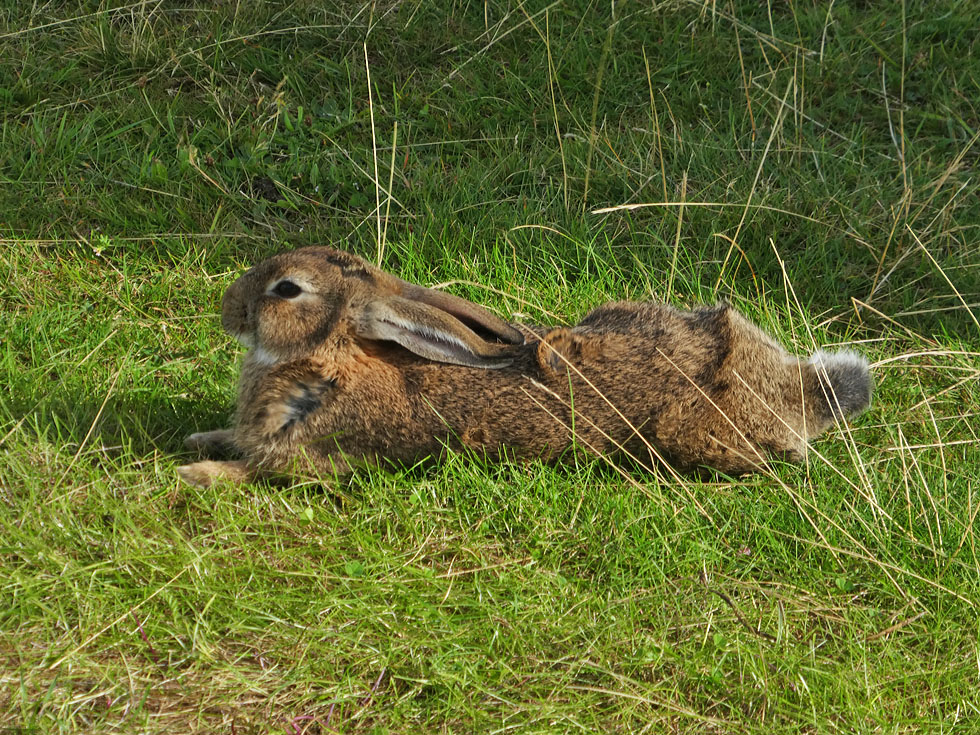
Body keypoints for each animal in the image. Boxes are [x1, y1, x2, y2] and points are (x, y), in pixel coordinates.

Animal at [176, 247, 872, 488]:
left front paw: (194, 474)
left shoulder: (317, 458)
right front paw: (197, 439)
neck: (331, 354)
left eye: (287, 290)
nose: (229, 307)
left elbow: (253, 471)